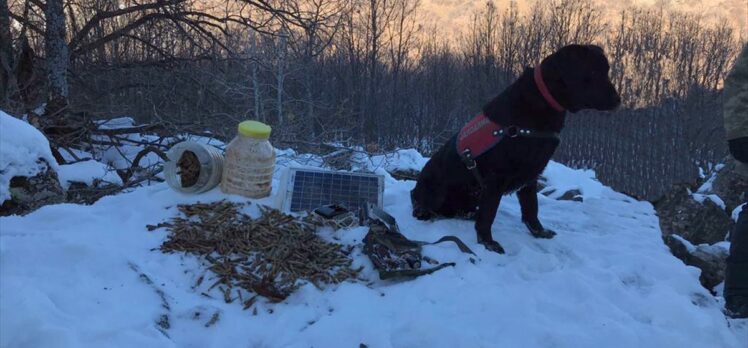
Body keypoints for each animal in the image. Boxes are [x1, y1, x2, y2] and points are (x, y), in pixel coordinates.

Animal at [410, 44, 620, 254]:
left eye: (607, 70)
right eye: (594, 72)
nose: (618, 101)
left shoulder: (532, 173)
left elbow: (531, 208)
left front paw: (538, 232)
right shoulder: (496, 178)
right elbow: (489, 214)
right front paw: (488, 243)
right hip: (437, 192)